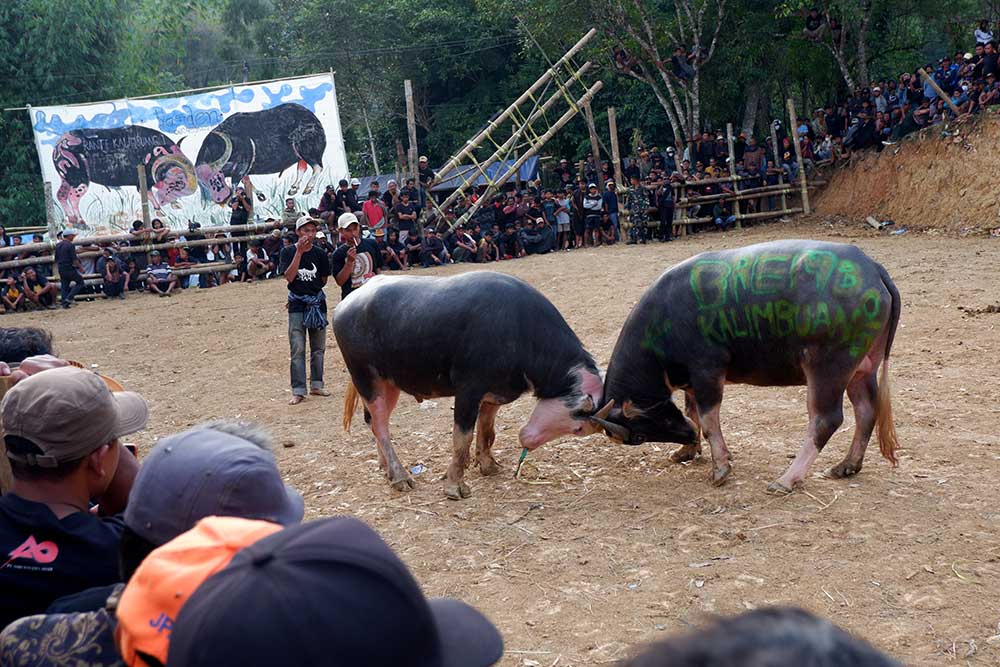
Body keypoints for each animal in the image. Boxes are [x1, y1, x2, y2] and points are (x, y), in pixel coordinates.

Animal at [51, 125, 196, 227]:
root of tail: (59, 146)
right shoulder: (143, 183)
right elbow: (150, 194)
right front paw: (161, 211)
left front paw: (175, 204)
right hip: (79, 180)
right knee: (72, 197)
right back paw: (81, 222)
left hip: (66, 179)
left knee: (61, 195)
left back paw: (72, 220)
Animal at [198, 102, 328, 205]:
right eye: (205, 183)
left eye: (217, 178)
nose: (218, 198)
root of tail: (313, 119)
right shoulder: (243, 170)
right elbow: (247, 181)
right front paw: (261, 196)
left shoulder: (241, 167)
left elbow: (236, 185)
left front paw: (234, 199)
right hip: (300, 153)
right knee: (302, 167)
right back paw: (294, 188)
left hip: (306, 150)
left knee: (317, 167)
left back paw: (308, 188)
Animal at [336, 272, 604, 500]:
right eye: (578, 428)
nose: (527, 442)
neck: (518, 330)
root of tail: (346, 304)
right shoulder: (468, 391)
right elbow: (462, 438)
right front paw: (455, 486)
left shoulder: (494, 395)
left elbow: (486, 430)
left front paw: (488, 465)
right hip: (367, 380)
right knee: (380, 425)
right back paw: (400, 476)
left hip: (388, 384)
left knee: (374, 423)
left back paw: (386, 468)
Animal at [592, 243, 908, 494]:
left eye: (639, 436)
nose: (687, 437)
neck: (661, 322)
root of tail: (872, 268)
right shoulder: (691, 381)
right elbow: (692, 413)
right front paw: (687, 451)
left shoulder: (707, 371)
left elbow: (708, 419)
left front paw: (720, 468)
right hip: (861, 369)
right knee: (866, 409)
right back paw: (847, 466)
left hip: (828, 368)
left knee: (826, 420)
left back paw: (786, 480)